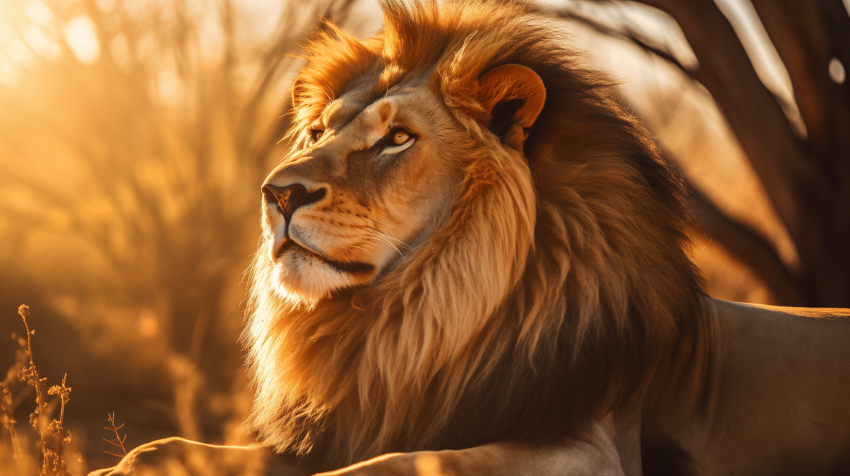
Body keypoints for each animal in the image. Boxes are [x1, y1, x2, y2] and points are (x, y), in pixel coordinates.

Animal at [90, 1, 850, 475]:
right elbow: (164, 447)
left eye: (397, 139)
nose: (276, 194)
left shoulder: (591, 447)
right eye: (318, 132)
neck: (413, 327)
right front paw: (118, 466)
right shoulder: (356, 422)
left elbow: (404, 463)